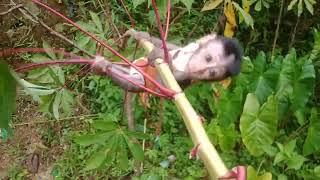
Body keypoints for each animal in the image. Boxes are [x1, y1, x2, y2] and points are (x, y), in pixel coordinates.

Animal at [91, 28, 241, 92]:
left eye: (212, 73)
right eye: (208, 58)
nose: (199, 69)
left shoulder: (188, 77)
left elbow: (168, 83)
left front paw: (165, 59)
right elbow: (171, 47)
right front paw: (142, 36)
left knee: (136, 83)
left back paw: (104, 67)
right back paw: (105, 65)